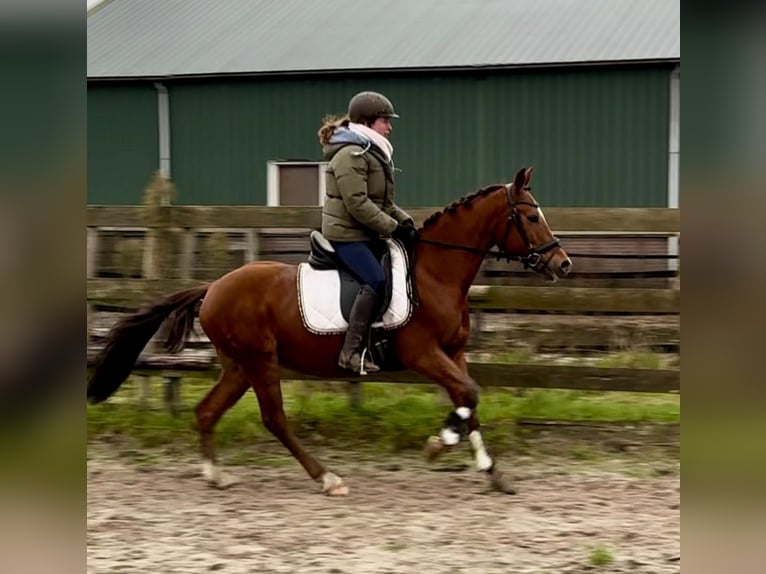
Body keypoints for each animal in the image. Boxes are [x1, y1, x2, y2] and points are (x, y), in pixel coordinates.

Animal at [88, 166, 568, 496]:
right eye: (530, 216)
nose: (563, 264)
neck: (436, 274)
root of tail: (213, 287)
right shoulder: (423, 354)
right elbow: (468, 395)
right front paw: (439, 444)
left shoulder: (454, 353)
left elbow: (469, 401)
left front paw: (492, 472)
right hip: (260, 361)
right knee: (275, 419)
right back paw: (327, 478)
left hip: (239, 366)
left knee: (207, 411)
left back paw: (216, 475)